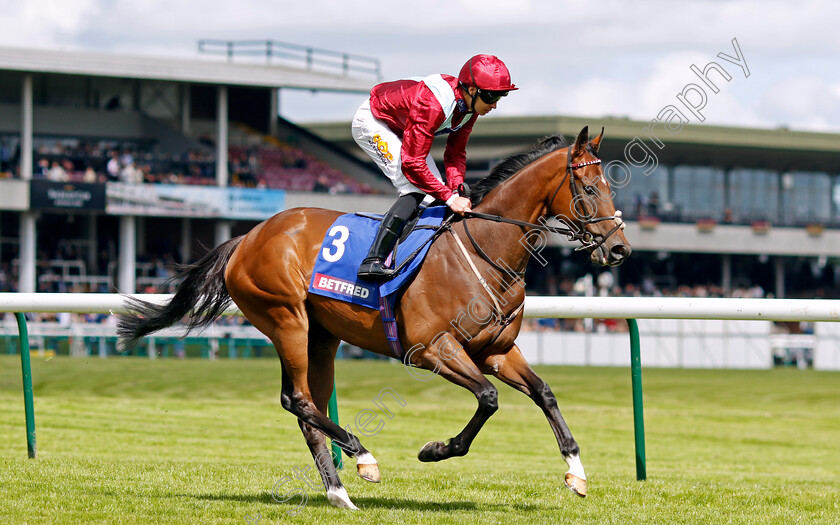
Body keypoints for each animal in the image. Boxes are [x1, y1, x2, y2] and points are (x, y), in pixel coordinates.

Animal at [116, 125, 632, 510]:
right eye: (588, 189)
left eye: (610, 186)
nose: (620, 249)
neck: (486, 250)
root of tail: (247, 237)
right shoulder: (432, 349)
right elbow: (487, 399)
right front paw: (435, 450)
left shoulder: (497, 351)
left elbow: (544, 393)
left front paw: (576, 472)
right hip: (286, 319)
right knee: (298, 400)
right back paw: (363, 456)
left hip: (321, 336)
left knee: (305, 405)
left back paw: (338, 492)